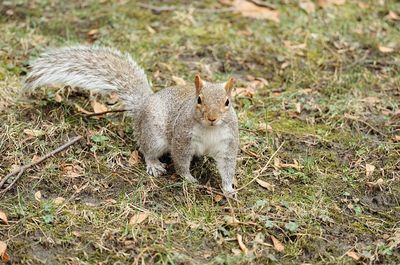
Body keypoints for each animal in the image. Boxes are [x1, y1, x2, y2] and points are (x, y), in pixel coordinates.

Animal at [25, 45, 241, 194]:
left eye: (227, 102)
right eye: (199, 100)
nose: (212, 118)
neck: (209, 130)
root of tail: (143, 109)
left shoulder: (228, 142)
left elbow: (227, 165)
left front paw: (228, 188)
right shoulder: (182, 137)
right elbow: (180, 160)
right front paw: (188, 178)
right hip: (154, 136)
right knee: (148, 150)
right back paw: (154, 164)